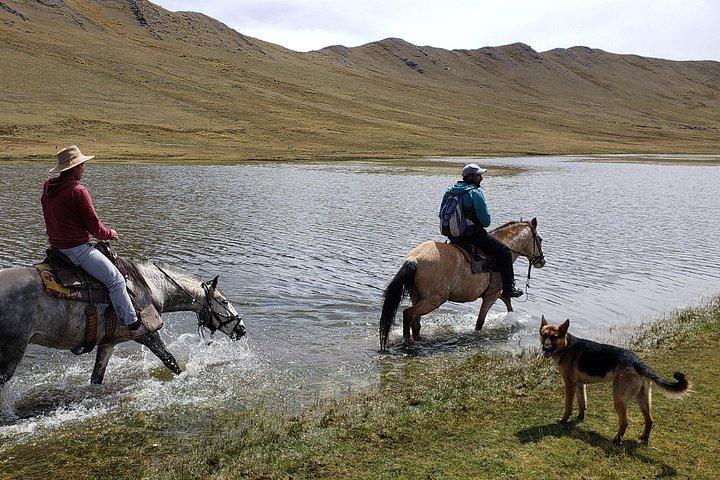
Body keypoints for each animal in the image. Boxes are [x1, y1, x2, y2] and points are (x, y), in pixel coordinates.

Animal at [0, 261, 245, 389]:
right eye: (224, 301)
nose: (241, 329)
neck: (152, 289)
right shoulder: (147, 335)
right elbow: (171, 361)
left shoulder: (108, 343)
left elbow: (97, 377)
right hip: (13, 349)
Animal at [379, 218, 546, 351]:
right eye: (539, 239)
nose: (542, 261)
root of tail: (414, 259)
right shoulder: (490, 295)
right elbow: (480, 322)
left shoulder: (497, 292)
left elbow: (508, 302)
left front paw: (512, 319)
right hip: (434, 300)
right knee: (408, 314)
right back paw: (408, 342)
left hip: (417, 296)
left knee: (416, 321)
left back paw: (419, 340)